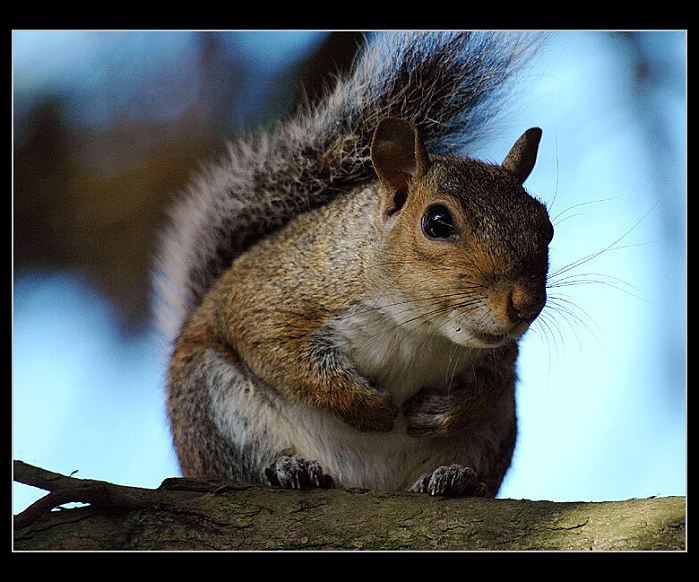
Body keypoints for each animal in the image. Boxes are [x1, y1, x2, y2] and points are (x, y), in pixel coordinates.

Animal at [155, 31, 553, 497]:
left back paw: (455, 478)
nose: (525, 303)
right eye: (437, 222)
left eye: (546, 226)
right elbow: (277, 350)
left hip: (496, 428)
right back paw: (288, 469)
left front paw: (444, 411)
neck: (418, 327)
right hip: (213, 404)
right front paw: (370, 408)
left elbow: (493, 378)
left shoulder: (498, 355)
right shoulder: (275, 292)